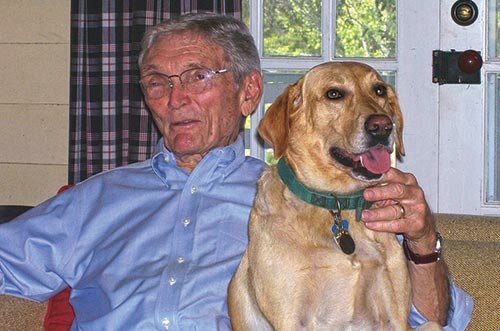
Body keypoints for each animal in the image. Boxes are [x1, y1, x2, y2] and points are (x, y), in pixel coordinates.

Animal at [229, 61, 440, 330]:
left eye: (379, 90)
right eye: (334, 94)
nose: (382, 126)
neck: (336, 202)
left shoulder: (394, 316)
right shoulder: (291, 318)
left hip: (431, 324)